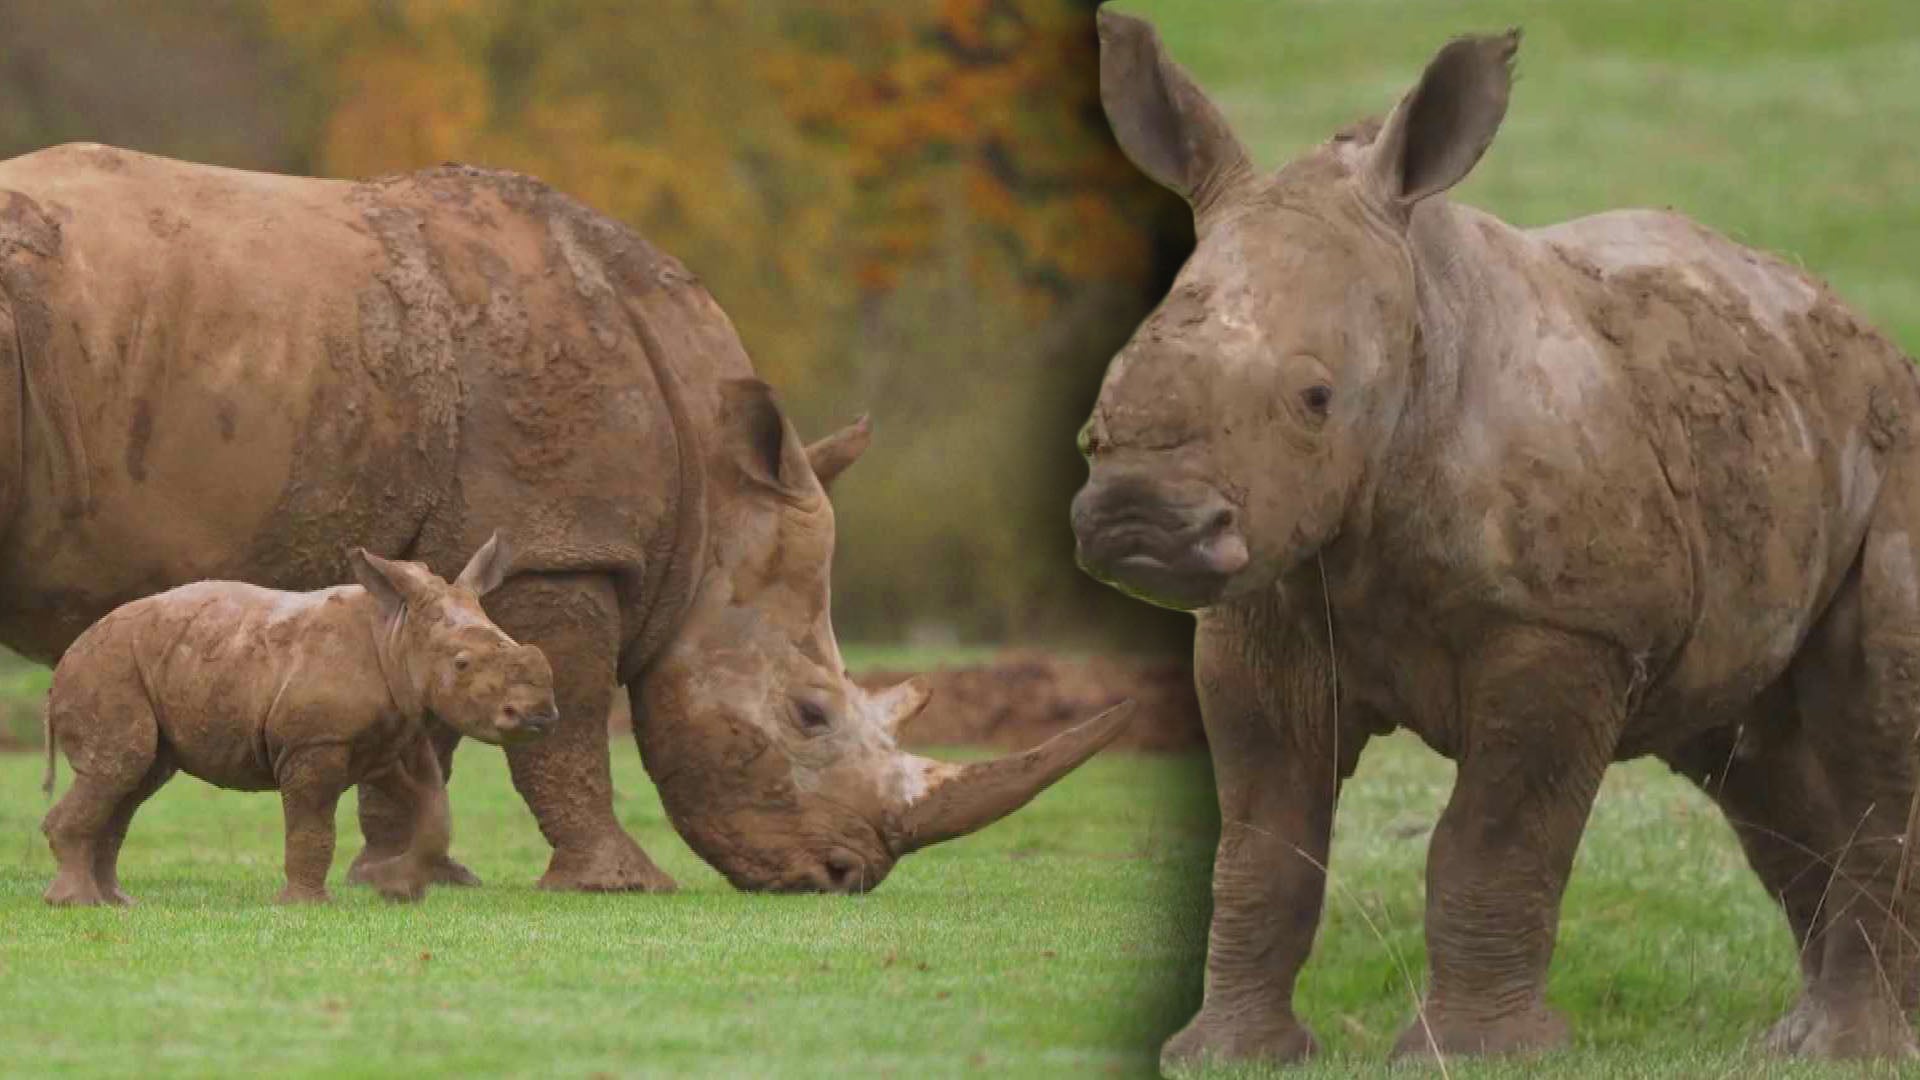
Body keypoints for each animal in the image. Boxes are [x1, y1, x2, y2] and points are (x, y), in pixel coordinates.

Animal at [39, 534, 556, 903]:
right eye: (462, 664)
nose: (539, 717)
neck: (397, 633)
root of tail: (66, 658)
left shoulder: (392, 739)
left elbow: (435, 812)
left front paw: (394, 888)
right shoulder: (317, 741)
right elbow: (312, 822)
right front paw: (306, 905)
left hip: (142, 664)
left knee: (136, 780)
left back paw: (116, 902)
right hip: (106, 668)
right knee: (120, 766)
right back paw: (77, 903)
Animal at [1082, 8, 1920, 1060]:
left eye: (1316, 399)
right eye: (1110, 381)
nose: (1138, 518)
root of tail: (1861, 325)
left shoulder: (1566, 628)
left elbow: (1493, 841)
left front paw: (1477, 1054)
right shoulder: (1261, 611)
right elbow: (1262, 847)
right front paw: (1226, 1056)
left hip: (1892, 450)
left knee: (1869, 733)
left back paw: (1850, 1049)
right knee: (1757, 764)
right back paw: (1804, 1043)